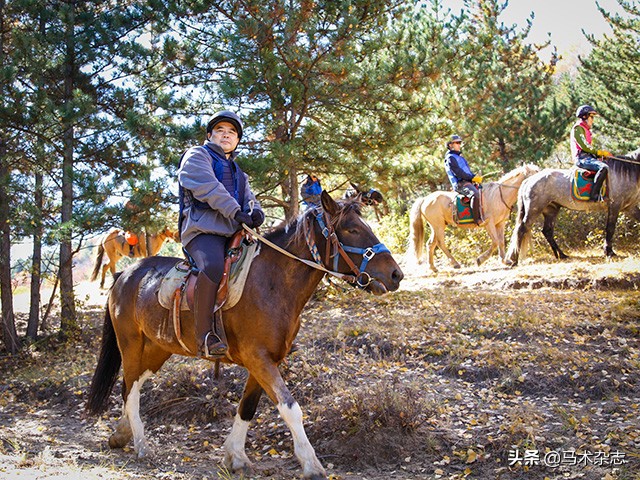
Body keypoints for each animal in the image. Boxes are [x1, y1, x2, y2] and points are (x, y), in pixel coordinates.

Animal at [87, 192, 402, 480]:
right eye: (351, 229)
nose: (396, 275)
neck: (273, 282)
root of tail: (125, 275)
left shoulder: (266, 361)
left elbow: (248, 407)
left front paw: (236, 456)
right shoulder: (259, 359)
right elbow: (291, 408)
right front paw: (311, 464)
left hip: (157, 349)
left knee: (133, 384)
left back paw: (122, 433)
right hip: (130, 344)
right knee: (129, 389)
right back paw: (141, 444)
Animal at [410, 164, 540, 272]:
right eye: (535, 172)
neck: (499, 195)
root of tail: (425, 199)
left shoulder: (500, 223)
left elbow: (501, 242)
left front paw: (505, 261)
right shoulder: (489, 224)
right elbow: (495, 242)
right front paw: (480, 260)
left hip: (436, 226)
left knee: (431, 243)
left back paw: (433, 267)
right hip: (438, 226)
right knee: (440, 243)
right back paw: (455, 263)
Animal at [504, 150, 640, 264]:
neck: (626, 172)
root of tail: (528, 180)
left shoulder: (629, 208)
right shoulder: (614, 206)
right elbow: (610, 229)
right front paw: (609, 252)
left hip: (551, 210)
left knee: (547, 231)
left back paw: (561, 255)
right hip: (534, 209)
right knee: (522, 229)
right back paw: (514, 260)